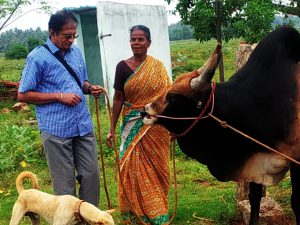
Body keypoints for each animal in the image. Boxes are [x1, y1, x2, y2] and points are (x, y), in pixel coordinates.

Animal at [142, 25, 300, 224]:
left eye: (174, 97)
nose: (145, 111)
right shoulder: (255, 161)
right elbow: (254, 199)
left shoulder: (295, 159)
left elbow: (296, 202)